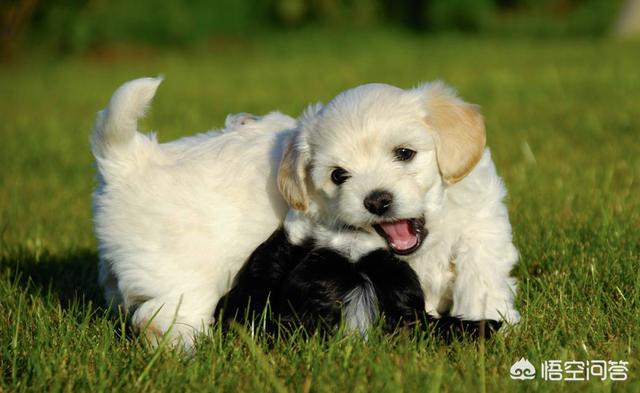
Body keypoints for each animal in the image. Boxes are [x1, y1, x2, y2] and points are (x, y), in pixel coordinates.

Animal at [280, 81, 520, 324]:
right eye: (338, 175)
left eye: (404, 153)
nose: (377, 201)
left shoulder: (480, 221)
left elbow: (480, 274)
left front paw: (489, 315)